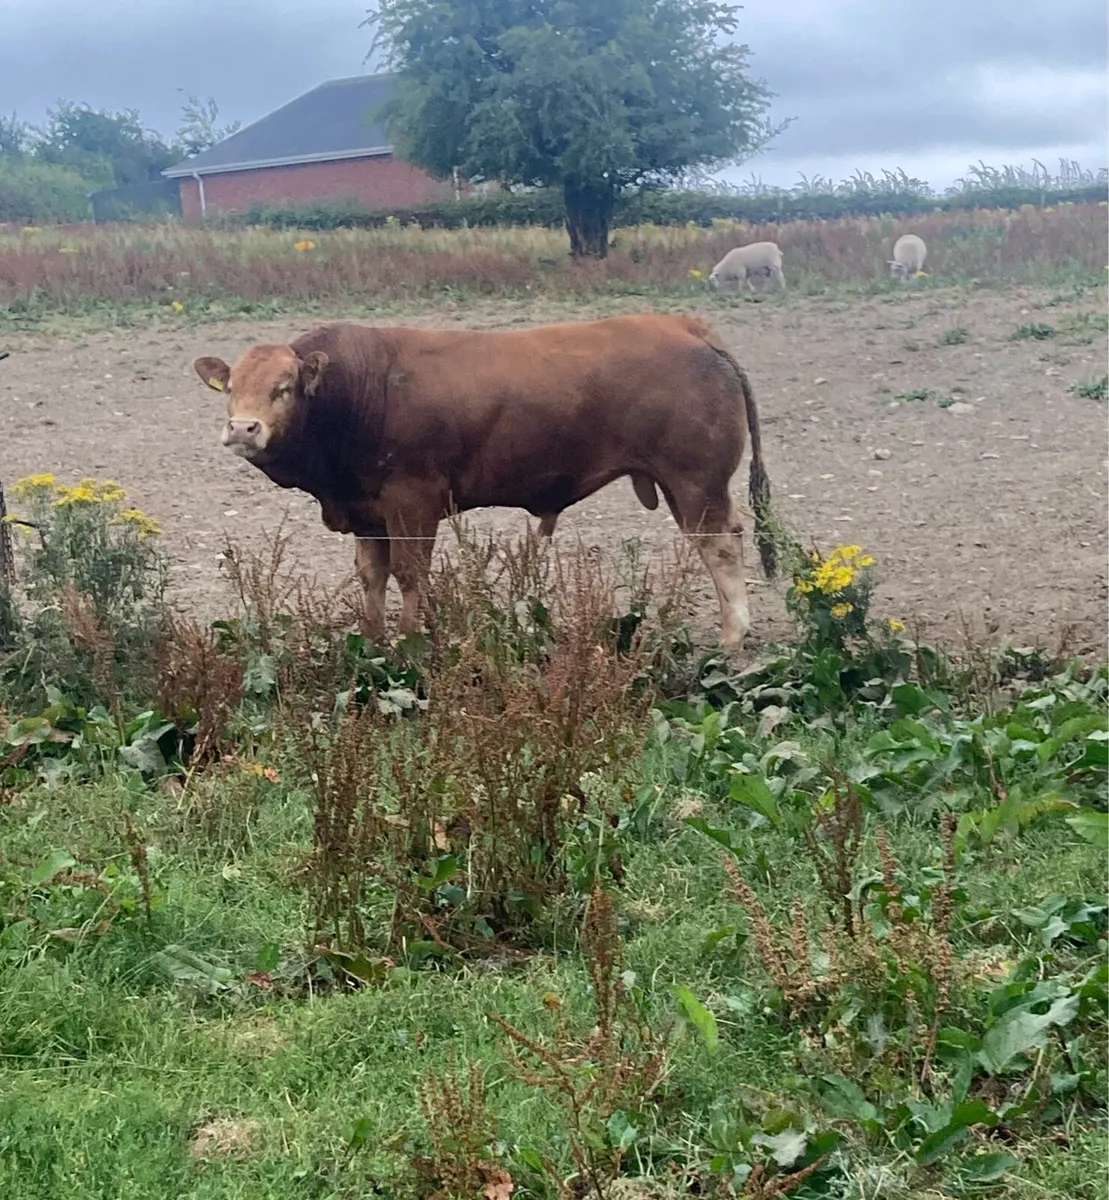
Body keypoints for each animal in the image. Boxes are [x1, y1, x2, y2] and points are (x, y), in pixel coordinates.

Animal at [193, 313, 776, 649]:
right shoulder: (368, 512)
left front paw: (408, 644)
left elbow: (409, 575)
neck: (359, 391)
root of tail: (682, 326)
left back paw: (733, 639)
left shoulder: (413, 501)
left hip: (696, 479)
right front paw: (373, 641)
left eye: (284, 387)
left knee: (721, 544)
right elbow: (372, 577)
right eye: (232, 388)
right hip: (681, 484)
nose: (243, 428)